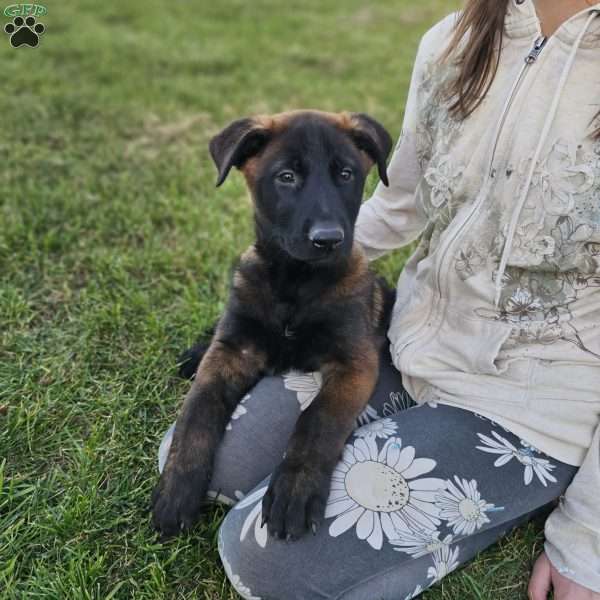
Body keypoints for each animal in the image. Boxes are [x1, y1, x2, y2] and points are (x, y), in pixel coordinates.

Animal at [151, 110, 394, 540]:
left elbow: (318, 420)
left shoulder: (355, 362)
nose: (328, 239)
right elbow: (196, 413)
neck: (295, 284)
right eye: (286, 177)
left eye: (346, 174)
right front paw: (177, 488)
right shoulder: (232, 350)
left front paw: (295, 487)